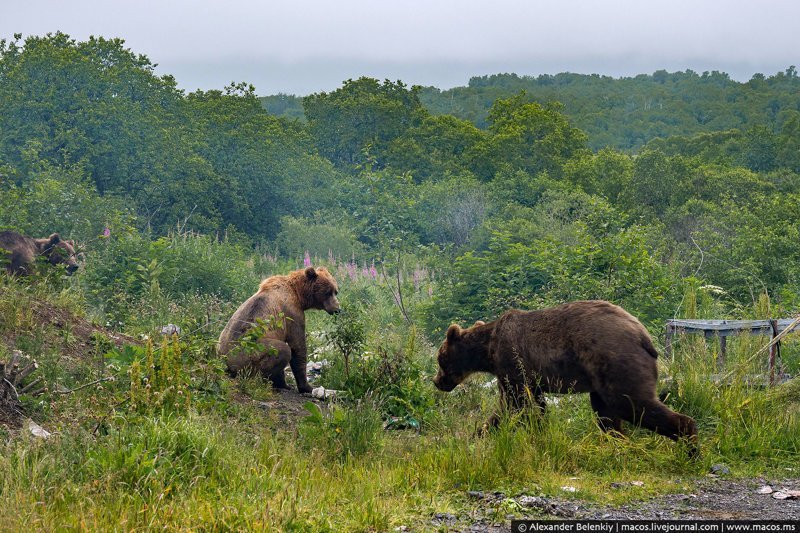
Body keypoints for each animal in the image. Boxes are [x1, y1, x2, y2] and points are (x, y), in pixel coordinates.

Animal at [434, 300, 696, 454]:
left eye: (440, 358)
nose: (437, 381)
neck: (487, 351)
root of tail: (643, 335)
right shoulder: (532, 377)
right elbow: (536, 405)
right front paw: (539, 431)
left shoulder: (512, 362)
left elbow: (512, 404)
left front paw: (479, 433)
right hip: (601, 379)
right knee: (606, 414)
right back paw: (617, 444)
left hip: (616, 362)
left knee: (631, 404)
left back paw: (691, 447)